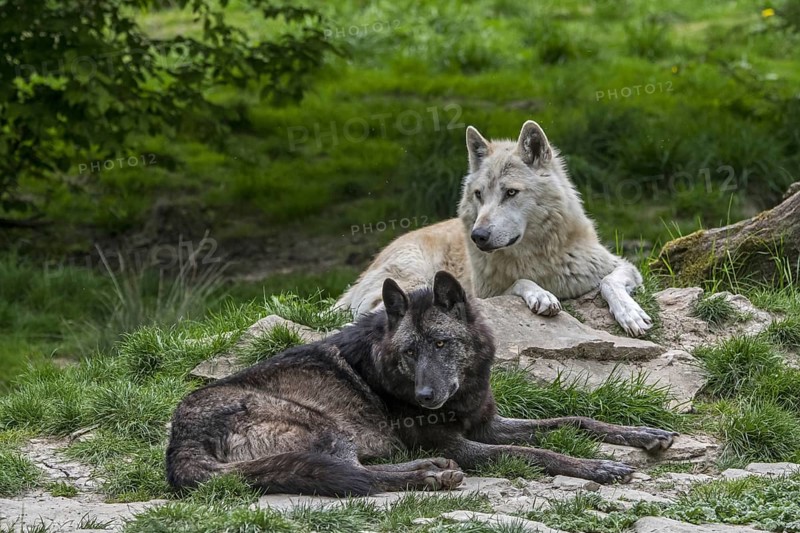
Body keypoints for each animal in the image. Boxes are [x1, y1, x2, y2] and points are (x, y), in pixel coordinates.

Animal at [167, 271, 675, 496]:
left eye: (441, 344)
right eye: (411, 352)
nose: (426, 397)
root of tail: (178, 444)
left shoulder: (486, 425)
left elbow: (574, 419)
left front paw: (642, 434)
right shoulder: (463, 442)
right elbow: (536, 452)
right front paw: (598, 467)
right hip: (326, 426)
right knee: (356, 475)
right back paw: (430, 474)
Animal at [336, 120, 653, 336]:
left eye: (510, 192)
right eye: (479, 194)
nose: (478, 236)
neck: (537, 258)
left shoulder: (621, 266)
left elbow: (609, 281)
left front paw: (631, 314)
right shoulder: (483, 294)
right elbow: (519, 283)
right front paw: (541, 295)